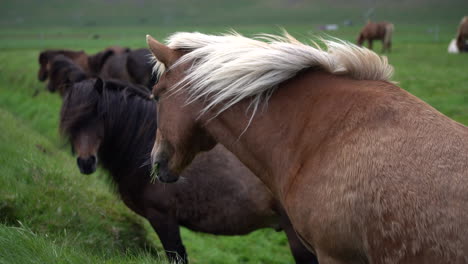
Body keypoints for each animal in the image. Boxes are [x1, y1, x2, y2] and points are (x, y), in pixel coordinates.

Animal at [57, 78, 314, 264]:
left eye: (100, 115)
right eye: (70, 119)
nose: (86, 162)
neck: (145, 145)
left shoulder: (162, 217)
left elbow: (177, 255)